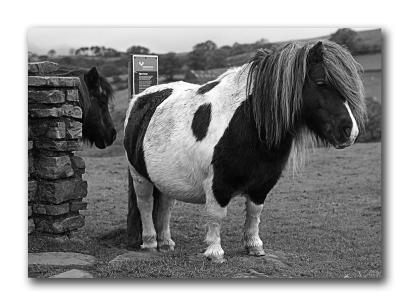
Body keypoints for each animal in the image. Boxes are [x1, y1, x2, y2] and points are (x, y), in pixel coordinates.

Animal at [123, 40, 368, 262]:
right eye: (321, 82)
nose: (350, 131)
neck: (249, 123)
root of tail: (141, 98)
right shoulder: (218, 184)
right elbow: (216, 215)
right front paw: (215, 252)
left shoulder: (262, 184)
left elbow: (254, 213)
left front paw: (254, 246)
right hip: (140, 176)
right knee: (145, 204)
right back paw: (150, 243)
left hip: (166, 178)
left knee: (165, 206)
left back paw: (166, 243)